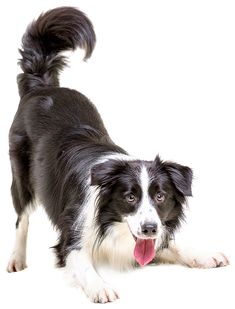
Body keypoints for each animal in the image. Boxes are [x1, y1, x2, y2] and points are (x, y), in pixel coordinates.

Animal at [7, 7, 229, 304]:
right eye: (129, 197)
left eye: (160, 196)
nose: (149, 229)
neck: (111, 223)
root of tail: (42, 86)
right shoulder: (70, 238)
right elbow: (81, 262)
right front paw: (100, 286)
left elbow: (172, 245)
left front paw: (204, 254)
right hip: (21, 173)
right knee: (21, 217)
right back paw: (16, 259)